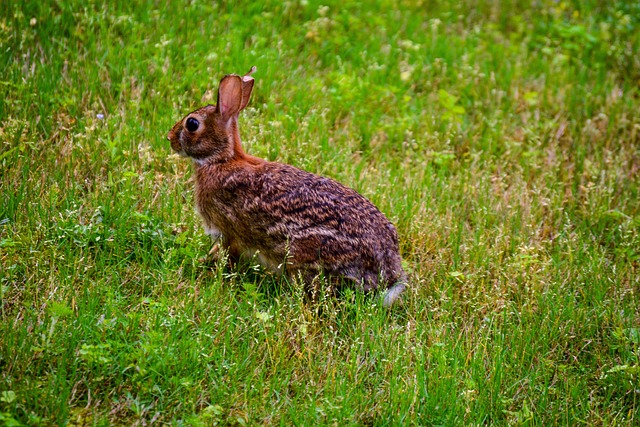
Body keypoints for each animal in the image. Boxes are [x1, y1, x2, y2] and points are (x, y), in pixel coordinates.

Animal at [165, 67, 404, 308]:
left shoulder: (227, 231)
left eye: (192, 124)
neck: (222, 160)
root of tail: (388, 276)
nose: (169, 137)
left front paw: (205, 263)